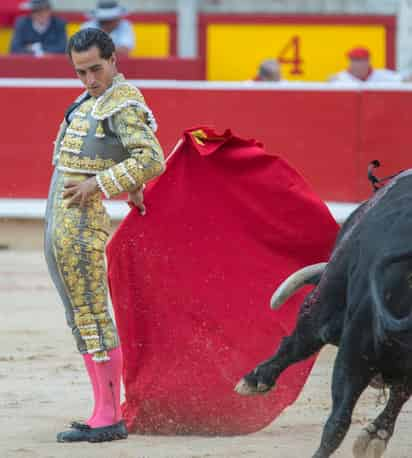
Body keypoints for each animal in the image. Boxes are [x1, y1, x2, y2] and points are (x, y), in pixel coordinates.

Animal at [235, 168, 412, 458]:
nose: (379, 380)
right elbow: (401, 392)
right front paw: (375, 436)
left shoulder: (322, 304)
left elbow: (296, 343)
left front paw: (253, 380)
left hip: (354, 346)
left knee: (338, 420)